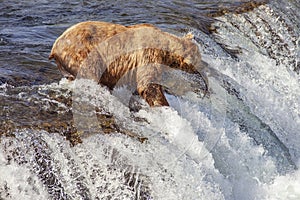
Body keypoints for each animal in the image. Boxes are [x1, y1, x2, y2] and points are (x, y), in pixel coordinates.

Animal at [49, 20, 209, 106]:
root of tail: (55, 46)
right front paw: (163, 104)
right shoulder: (148, 54)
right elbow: (148, 85)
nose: (206, 65)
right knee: (90, 73)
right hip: (83, 53)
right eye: (199, 57)